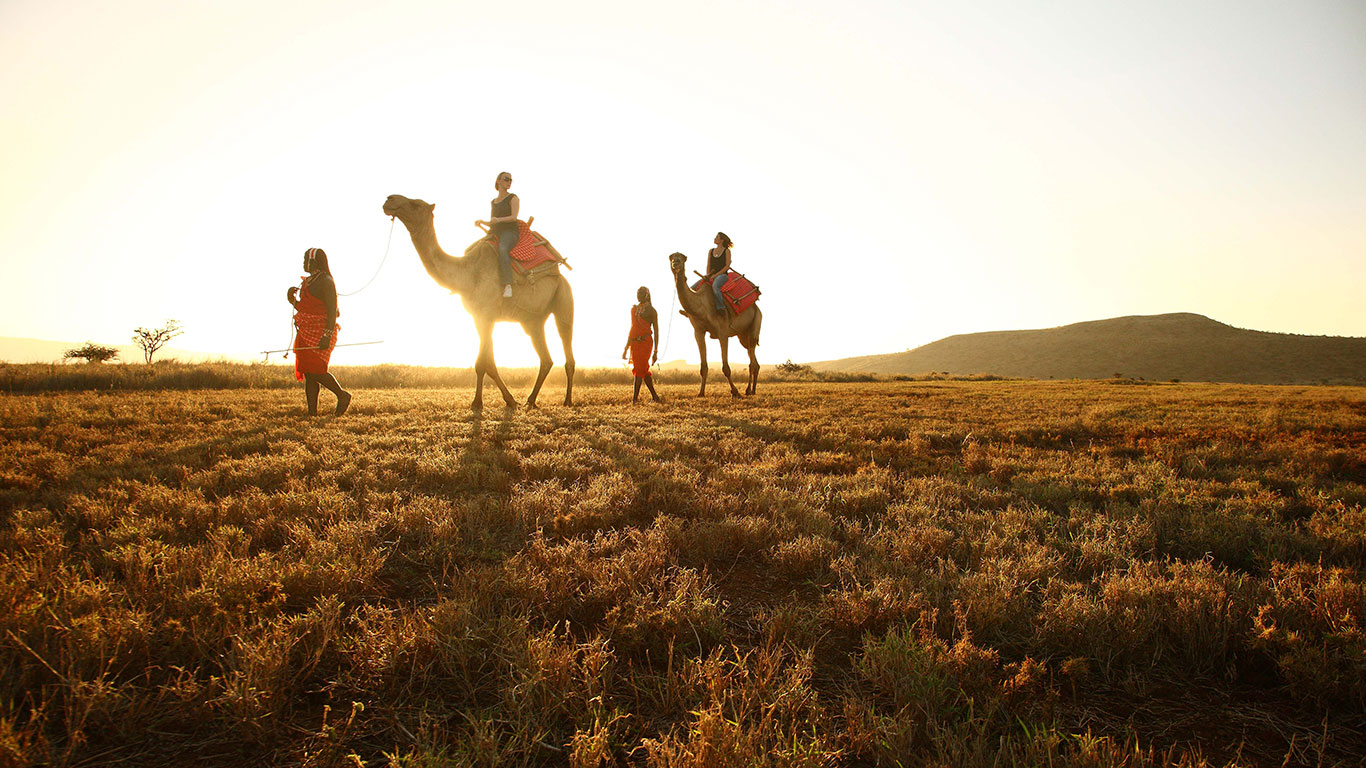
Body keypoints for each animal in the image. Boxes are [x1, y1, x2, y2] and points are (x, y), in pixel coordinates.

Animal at [382, 194, 574, 409]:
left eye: (415, 204)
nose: (389, 200)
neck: (467, 274)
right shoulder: (478, 316)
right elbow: (488, 363)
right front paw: (509, 400)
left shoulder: (487, 314)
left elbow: (482, 363)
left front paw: (477, 403)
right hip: (532, 321)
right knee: (546, 359)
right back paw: (531, 400)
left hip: (563, 295)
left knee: (566, 342)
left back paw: (567, 400)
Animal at [668, 252, 761, 397]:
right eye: (671, 257)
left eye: (682, 258)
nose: (675, 263)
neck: (702, 306)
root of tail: (756, 307)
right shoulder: (698, 332)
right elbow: (703, 367)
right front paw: (701, 392)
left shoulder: (722, 331)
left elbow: (726, 368)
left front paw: (735, 392)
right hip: (742, 335)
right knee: (753, 360)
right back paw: (751, 390)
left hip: (755, 323)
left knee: (752, 361)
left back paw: (749, 390)